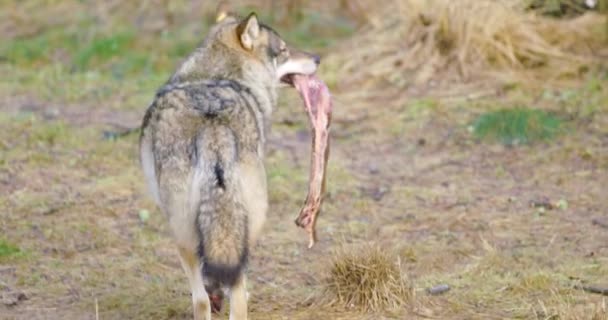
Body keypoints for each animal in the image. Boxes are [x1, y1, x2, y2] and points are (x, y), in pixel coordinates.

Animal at [138, 7, 318, 320]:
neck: (217, 73)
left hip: (187, 232)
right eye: (283, 50)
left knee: (209, 296)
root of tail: (214, 126)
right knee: (227, 291)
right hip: (238, 224)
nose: (317, 58)